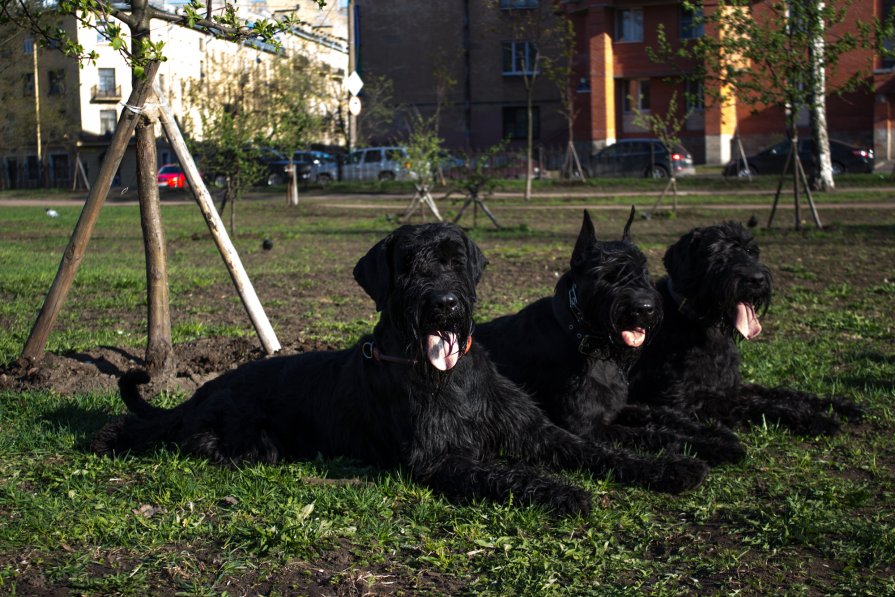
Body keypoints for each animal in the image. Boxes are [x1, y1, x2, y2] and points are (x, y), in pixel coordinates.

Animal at [91, 221, 708, 516]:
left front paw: (668, 469)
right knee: (181, 437)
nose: (444, 306)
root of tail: (203, 390)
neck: (449, 375)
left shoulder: (534, 429)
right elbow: (508, 474)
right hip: (243, 437)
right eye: (407, 265)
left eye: (454, 261)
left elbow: (595, 450)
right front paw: (560, 493)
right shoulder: (440, 457)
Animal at [480, 210, 744, 466]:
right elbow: (653, 434)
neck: (592, 346)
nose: (645, 308)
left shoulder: (620, 405)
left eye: (644, 272)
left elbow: (662, 415)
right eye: (606, 275)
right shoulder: (589, 428)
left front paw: (714, 434)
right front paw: (711, 447)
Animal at [628, 221, 864, 436]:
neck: (703, 327)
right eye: (716, 252)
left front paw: (838, 404)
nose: (757, 280)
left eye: (751, 251)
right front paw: (814, 418)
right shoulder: (689, 401)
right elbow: (758, 404)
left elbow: (781, 392)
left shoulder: (731, 385)